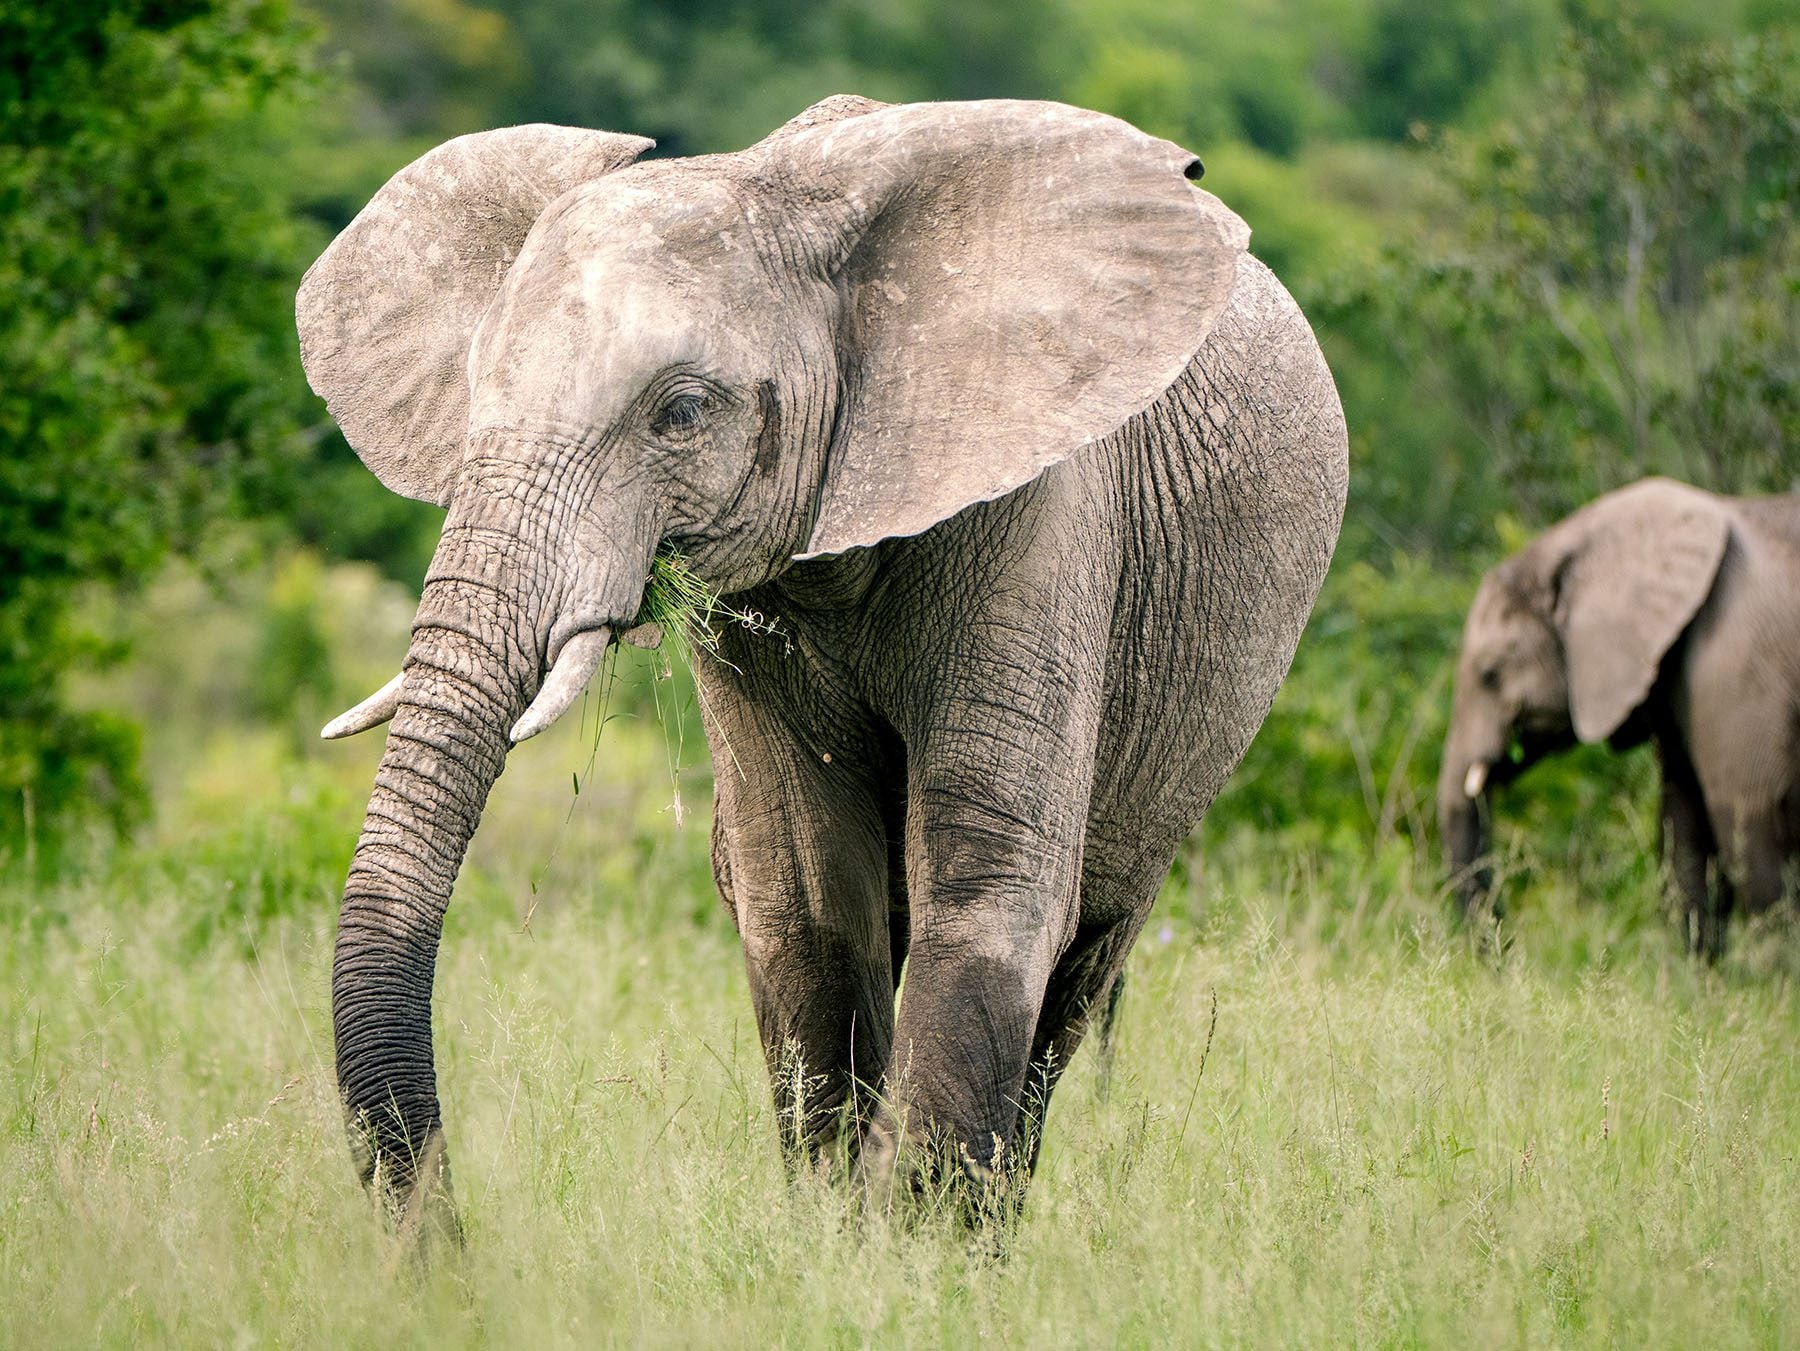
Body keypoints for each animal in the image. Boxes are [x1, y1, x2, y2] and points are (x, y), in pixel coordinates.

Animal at [298, 94, 1348, 1234]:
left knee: (1084, 961)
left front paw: (914, 1247)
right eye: (470, 395)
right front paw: (836, 1237)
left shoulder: (1048, 507)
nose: (449, 1244)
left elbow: (987, 884)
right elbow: (805, 899)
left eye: (681, 413)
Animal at [1439, 477, 1800, 957]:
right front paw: (1696, 975)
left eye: (1490, 674)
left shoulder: (1737, 667)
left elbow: (1750, 822)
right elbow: (1683, 824)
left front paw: (1774, 974)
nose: (1505, 955)